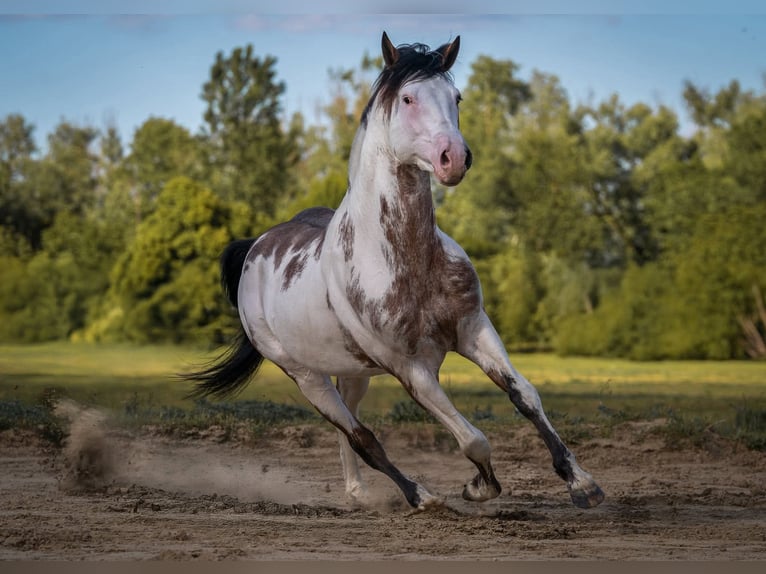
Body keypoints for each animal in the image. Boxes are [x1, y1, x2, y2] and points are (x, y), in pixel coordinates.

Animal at [185, 32, 605, 511]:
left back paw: (358, 495)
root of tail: (255, 247)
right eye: (407, 98)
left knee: (350, 433)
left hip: (352, 372)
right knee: (362, 437)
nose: (454, 158)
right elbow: (473, 439)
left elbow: (526, 396)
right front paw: (477, 487)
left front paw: (582, 483)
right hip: (306, 376)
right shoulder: (411, 369)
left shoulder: (474, 330)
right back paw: (419, 496)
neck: (407, 259)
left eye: (456, 97)